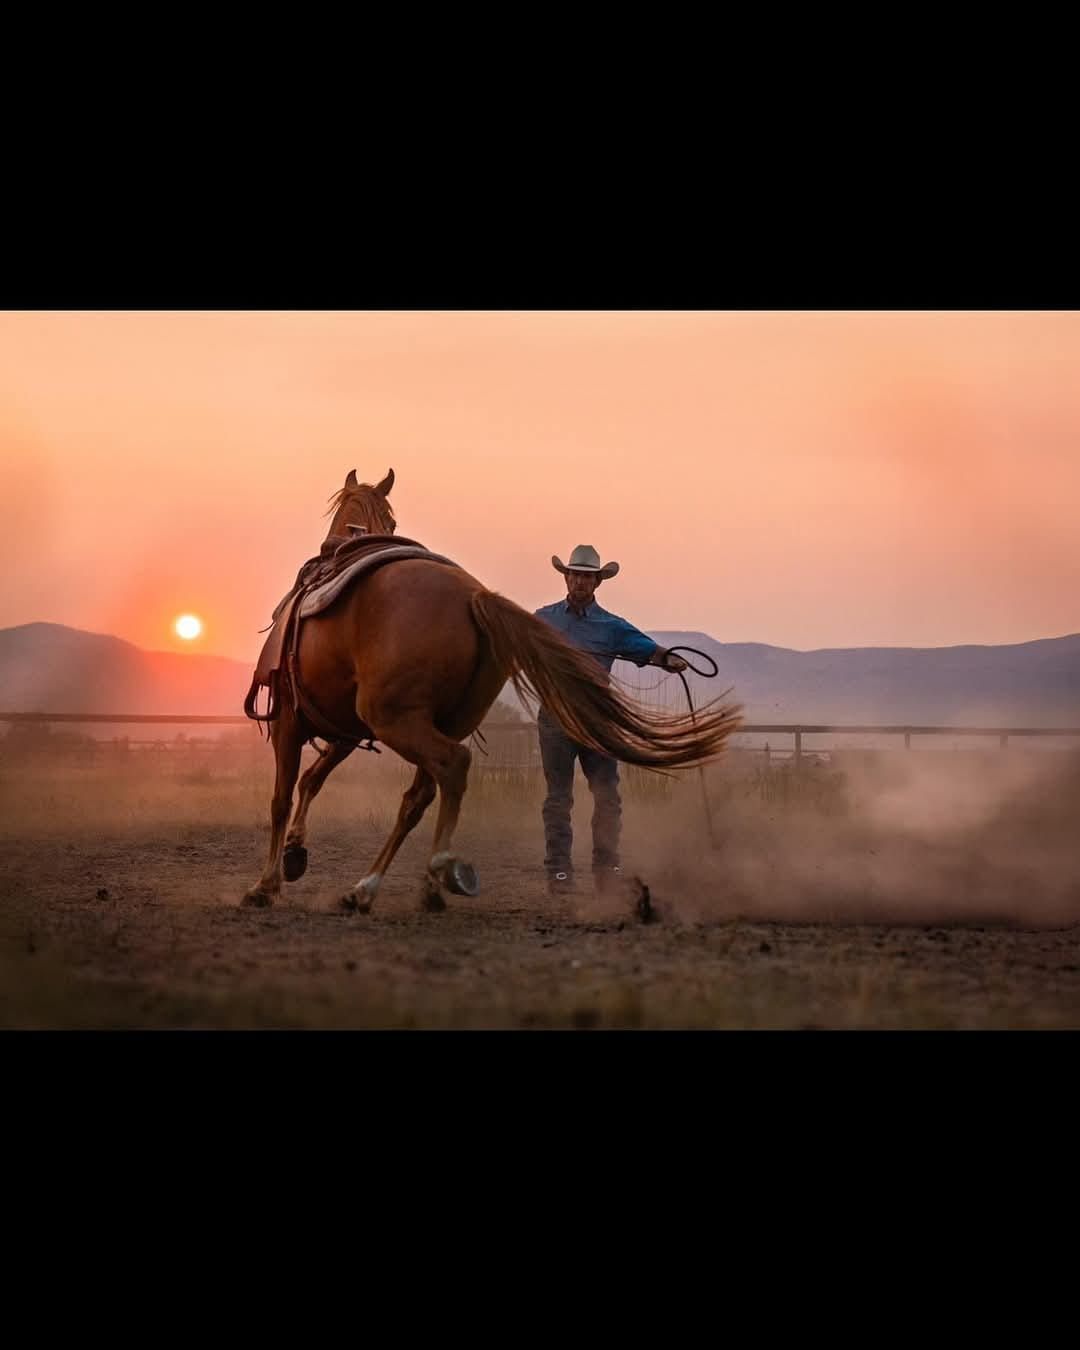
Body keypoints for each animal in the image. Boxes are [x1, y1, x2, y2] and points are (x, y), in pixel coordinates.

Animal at [243, 469, 745, 912]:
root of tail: (473, 597)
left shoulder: (291, 719)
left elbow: (280, 798)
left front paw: (265, 886)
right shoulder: (344, 727)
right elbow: (312, 780)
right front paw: (294, 855)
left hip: (397, 719)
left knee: (451, 767)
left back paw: (418, 875)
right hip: (436, 721)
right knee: (421, 795)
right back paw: (396, 888)